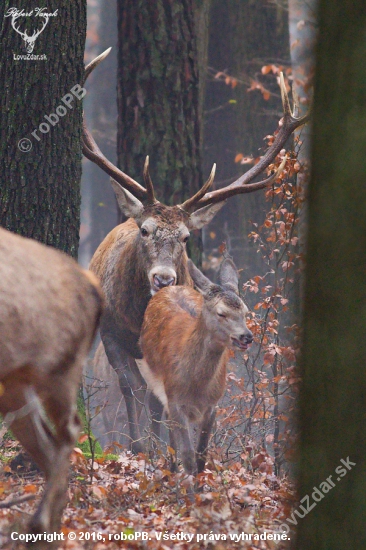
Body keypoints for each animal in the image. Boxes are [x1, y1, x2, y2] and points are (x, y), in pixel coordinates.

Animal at [0, 227, 102, 544]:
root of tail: (95, 288)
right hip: (16, 381)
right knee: (45, 441)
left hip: (60, 367)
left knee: (69, 428)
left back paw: (41, 523)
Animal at [83, 48, 308, 452]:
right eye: (144, 230)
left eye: (187, 238)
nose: (163, 278)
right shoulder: (109, 332)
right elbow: (131, 388)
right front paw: (140, 449)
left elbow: (161, 395)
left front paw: (163, 449)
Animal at [139, 256, 252, 476]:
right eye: (221, 313)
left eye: (245, 311)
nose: (247, 336)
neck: (196, 386)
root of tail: (169, 288)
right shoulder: (175, 398)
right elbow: (188, 455)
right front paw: (188, 484)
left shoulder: (212, 405)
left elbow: (201, 454)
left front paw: (200, 482)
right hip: (154, 379)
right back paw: (171, 469)